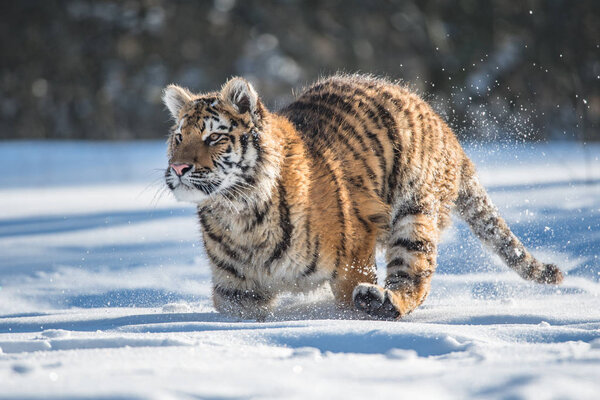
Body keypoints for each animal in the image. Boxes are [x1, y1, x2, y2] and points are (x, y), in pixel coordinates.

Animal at [162, 73, 564, 320]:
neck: (238, 213)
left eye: (214, 137)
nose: (179, 168)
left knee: (414, 281)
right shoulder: (236, 291)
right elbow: (237, 311)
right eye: (179, 137)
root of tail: (443, 127)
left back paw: (380, 302)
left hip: (414, 216)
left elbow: (346, 296)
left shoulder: (351, 256)